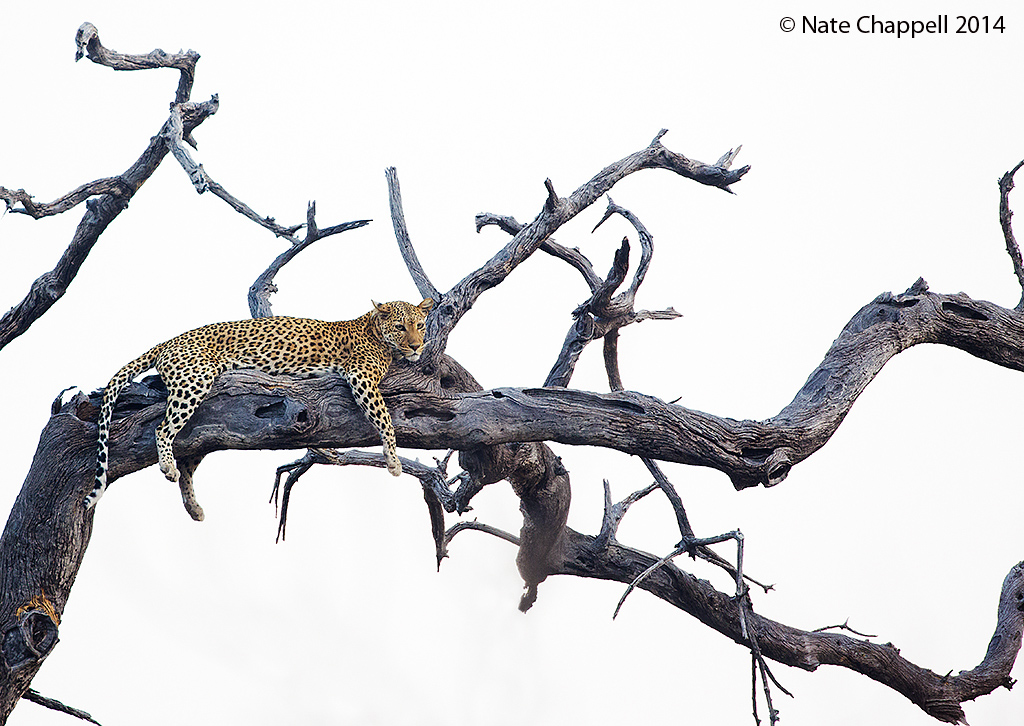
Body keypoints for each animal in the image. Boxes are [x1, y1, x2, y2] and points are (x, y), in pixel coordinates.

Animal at [84, 299, 433, 519]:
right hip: (196, 381)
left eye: (420, 325)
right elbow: (385, 419)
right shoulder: (361, 377)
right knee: (162, 429)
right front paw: (393, 461)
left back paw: (193, 508)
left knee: (190, 457)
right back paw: (168, 466)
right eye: (401, 327)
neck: (372, 328)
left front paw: (329, 451)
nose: (417, 346)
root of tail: (168, 341)